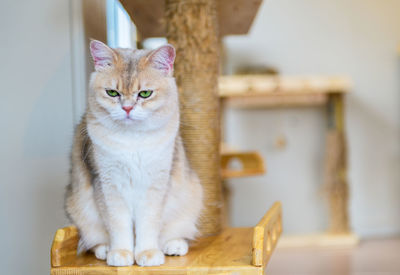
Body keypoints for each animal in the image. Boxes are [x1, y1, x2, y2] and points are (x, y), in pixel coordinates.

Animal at [65, 40, 205, 268]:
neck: (132, 140)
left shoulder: (156, 185)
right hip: (78, 208)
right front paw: (121, 253)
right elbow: (118, 224)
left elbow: (148, 224)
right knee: (92, 239)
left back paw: (173, 245)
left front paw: (147, 253)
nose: (128, 108)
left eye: (145, 93)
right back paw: (105, 249)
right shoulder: (108, 185)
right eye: (112, 93)